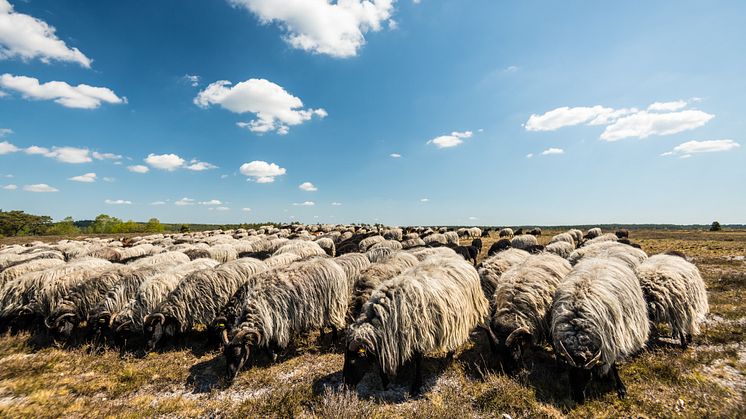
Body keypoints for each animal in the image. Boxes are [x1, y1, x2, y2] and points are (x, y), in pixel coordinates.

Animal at [342, 254, 488, 396]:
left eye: (353, 360)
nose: (345, 384)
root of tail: (463, 261)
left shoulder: (418, 333)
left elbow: (417, 360)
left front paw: (416, 386)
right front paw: (387, 380)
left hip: (463, 317)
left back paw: (448, 358)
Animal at [548, 258, 648, 406]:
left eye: (588, 377)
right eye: (570, 374)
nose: (578, 400)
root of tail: (602, 258)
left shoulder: (610, 342)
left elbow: (612, 365)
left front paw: (620, 388)